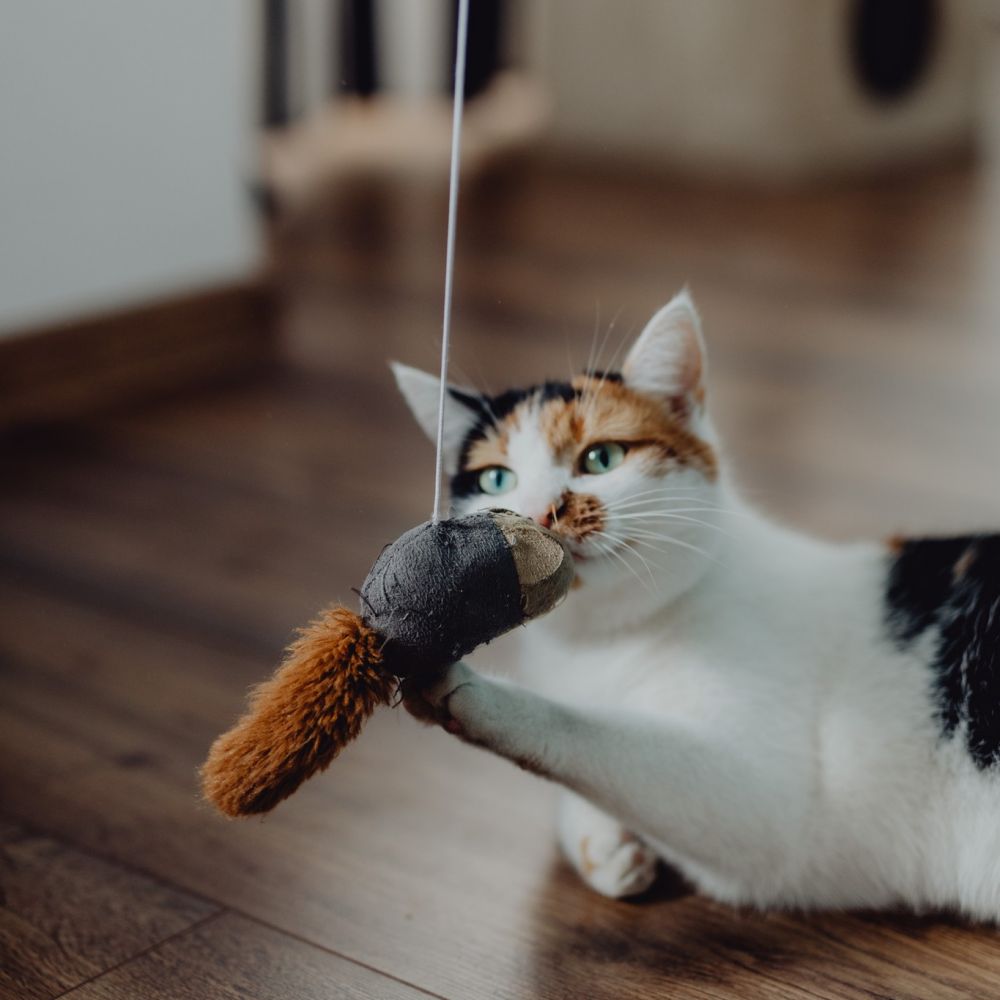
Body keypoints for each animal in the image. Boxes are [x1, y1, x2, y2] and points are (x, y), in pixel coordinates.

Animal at [390, 290, 1000, 916]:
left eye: (602, 458)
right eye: (496, 481)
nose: (537, 514)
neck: (600, 642)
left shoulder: (771, 804)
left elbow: (592, 732)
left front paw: (467, 691)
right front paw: (604, 844)